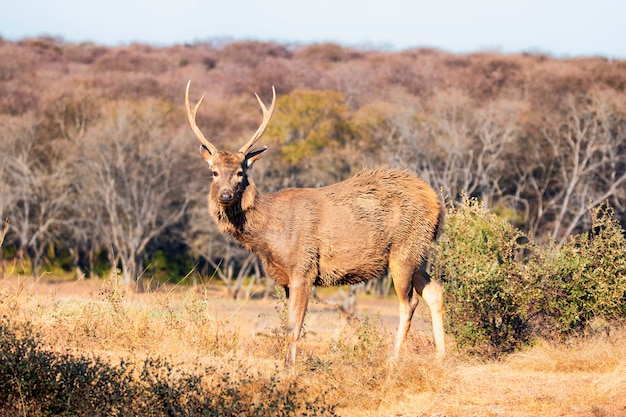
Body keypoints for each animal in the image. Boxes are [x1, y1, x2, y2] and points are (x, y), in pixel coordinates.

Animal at [184, 82, 444, 370]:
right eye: (214, 171)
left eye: (241, 172)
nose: (226, 195)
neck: (269, 237)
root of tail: (436, 204)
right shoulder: (285, 278)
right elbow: (289, 325)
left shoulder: (303, 268)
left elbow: (293, 327)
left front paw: (289, 369)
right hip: (418, 252)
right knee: (435, 291)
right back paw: (443, 356)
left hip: (403, 250)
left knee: (408, 302)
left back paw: (393, 359)